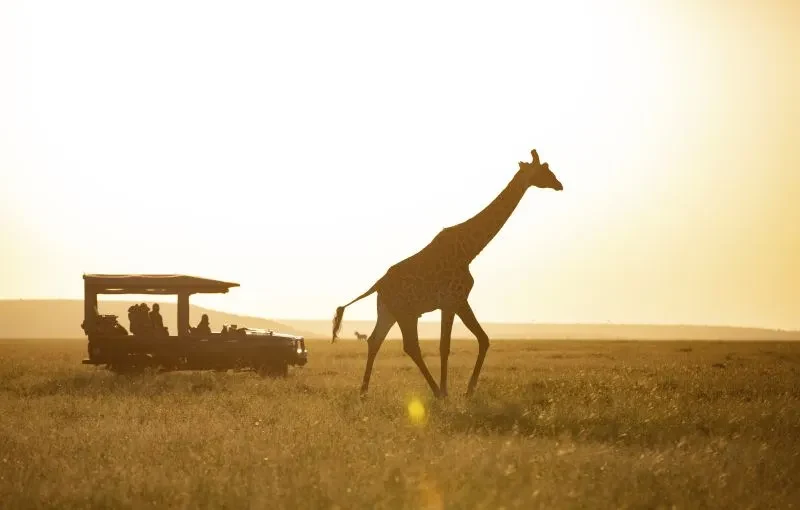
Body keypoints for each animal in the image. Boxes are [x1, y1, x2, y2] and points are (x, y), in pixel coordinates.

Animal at [332, 149, 562, 398]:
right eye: (545, 170)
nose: (559, 184)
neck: (469, 251)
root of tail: (377, 285)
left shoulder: (457, 301)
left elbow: (481, 339)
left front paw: (466, 390)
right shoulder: (453, 300)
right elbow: (447, 345)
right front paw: (452, 391)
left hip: (388, 311)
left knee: (375, 340)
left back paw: (364, 392)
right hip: (405, 313)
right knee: (410, 345)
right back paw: (435, 391)